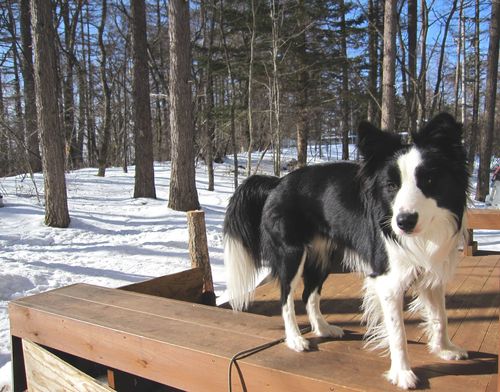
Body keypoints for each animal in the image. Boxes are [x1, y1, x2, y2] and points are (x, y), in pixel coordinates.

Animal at [225, 113, 470, 388]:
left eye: (428, 180)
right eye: (390, 186)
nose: (404, 222)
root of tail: (277, 182)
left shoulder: (431, 273)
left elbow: (440, 316)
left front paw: (445, 349)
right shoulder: (388, 281)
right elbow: (397, 331)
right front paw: (402, 373)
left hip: (323, 256)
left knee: (309, 294)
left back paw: (323, 329)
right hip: (291, 254)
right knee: (286, 297)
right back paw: (295, 339)